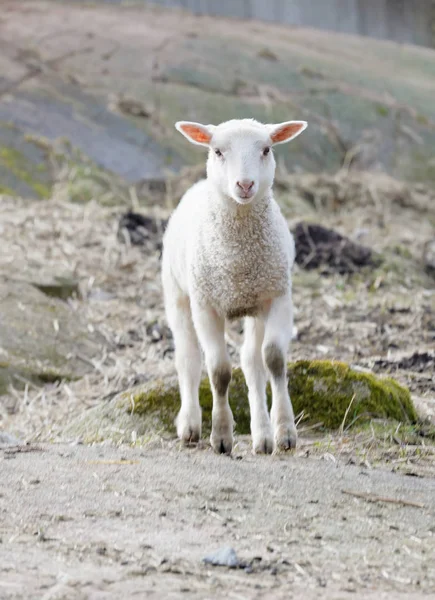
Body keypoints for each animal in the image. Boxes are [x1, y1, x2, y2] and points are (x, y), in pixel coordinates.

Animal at [162, 117, 308, 454]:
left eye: (266, 149)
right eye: (217, 151)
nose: (244, 185)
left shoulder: (278, 296)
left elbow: (273, 360)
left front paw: (284, 431)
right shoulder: (206, 306)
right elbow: (219, 371)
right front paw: (221, 436)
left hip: (256, 306)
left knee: (252, 362)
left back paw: (262, 436)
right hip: (177, 295)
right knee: (188, 358)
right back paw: (190, 426)